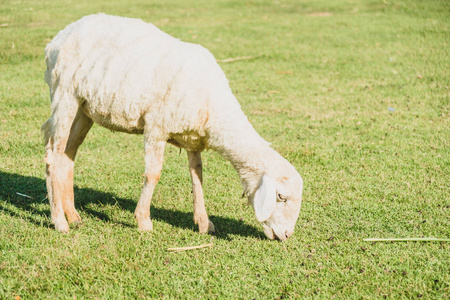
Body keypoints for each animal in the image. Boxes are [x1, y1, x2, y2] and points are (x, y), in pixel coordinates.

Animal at [42, 12, 304, 240]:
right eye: (281, 196)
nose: (286, 235)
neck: (216, 111)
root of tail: (59, 37)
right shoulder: (156, 127)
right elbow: (153, 174)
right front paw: (143, 220)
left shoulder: (193, 138)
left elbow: (197, 176)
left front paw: (203, 222)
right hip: (64, 93)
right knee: (53, 156)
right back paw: (60, 221)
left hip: (84, 109)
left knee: (67, 154)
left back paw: (73, 215)